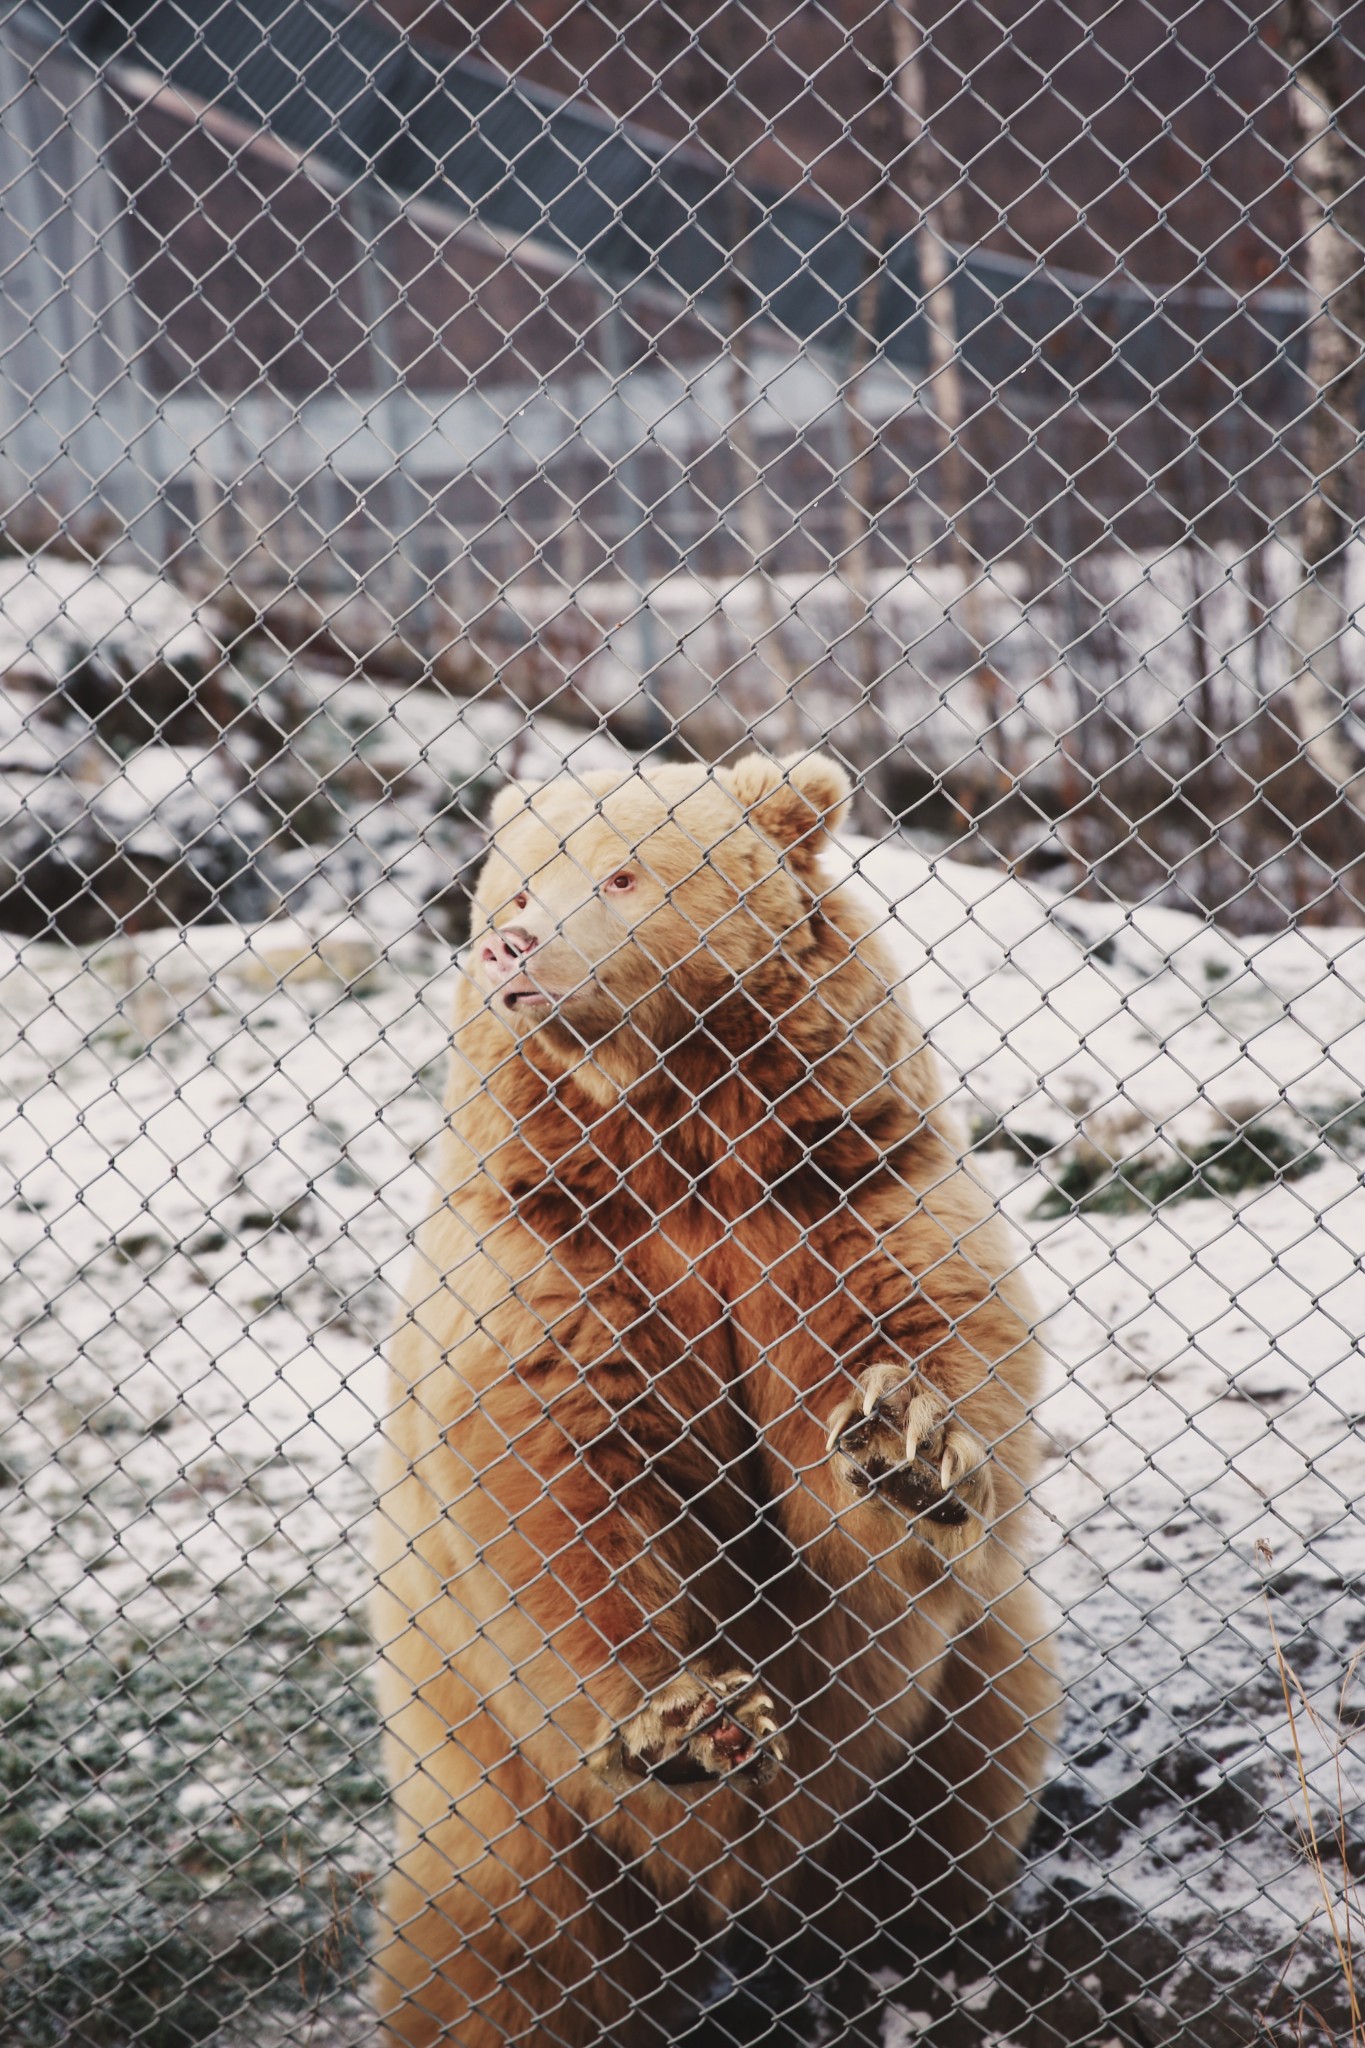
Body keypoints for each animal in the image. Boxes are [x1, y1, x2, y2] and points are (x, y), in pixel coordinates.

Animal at [374, 757, 1064, 2048]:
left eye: (620, 872)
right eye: (516, 881)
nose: (511, 946)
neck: (679, 1131)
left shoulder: (838, 1194)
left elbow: (924, 1361)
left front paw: (904, 1442)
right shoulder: (553, 1251)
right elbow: (560, 1484)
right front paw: (692, 1718)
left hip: (960, 1702)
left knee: (945, 1817)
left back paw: (923, 1947)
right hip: (487, 1766)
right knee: (507, 1940)